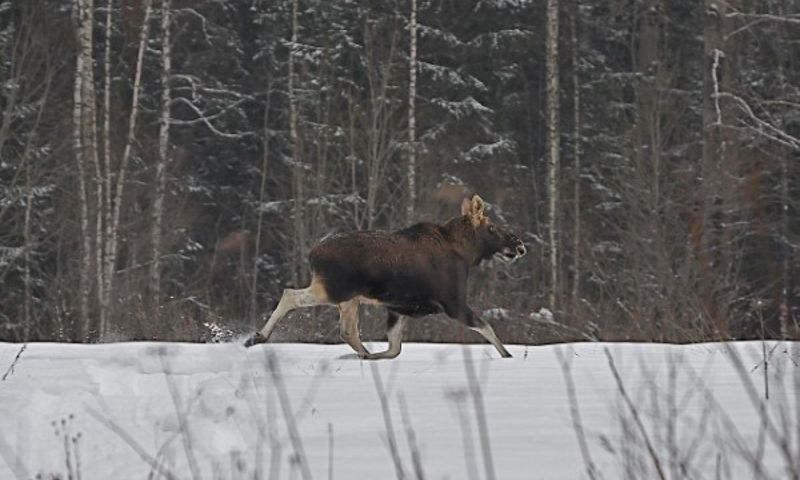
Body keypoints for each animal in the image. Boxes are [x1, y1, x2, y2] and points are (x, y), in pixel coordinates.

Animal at [247, 193, 528, 358]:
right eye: (492, 227)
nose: (519, 246)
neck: (466, 255)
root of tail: (313, 255)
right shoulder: (452, 302)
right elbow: (487, 326)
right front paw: (508, 356)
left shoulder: (399, 307)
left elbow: (394, 348)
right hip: (334, 290)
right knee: (290, 295)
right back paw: (257, 336)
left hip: (349, 299)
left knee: (347, 331)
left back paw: (363, 354)